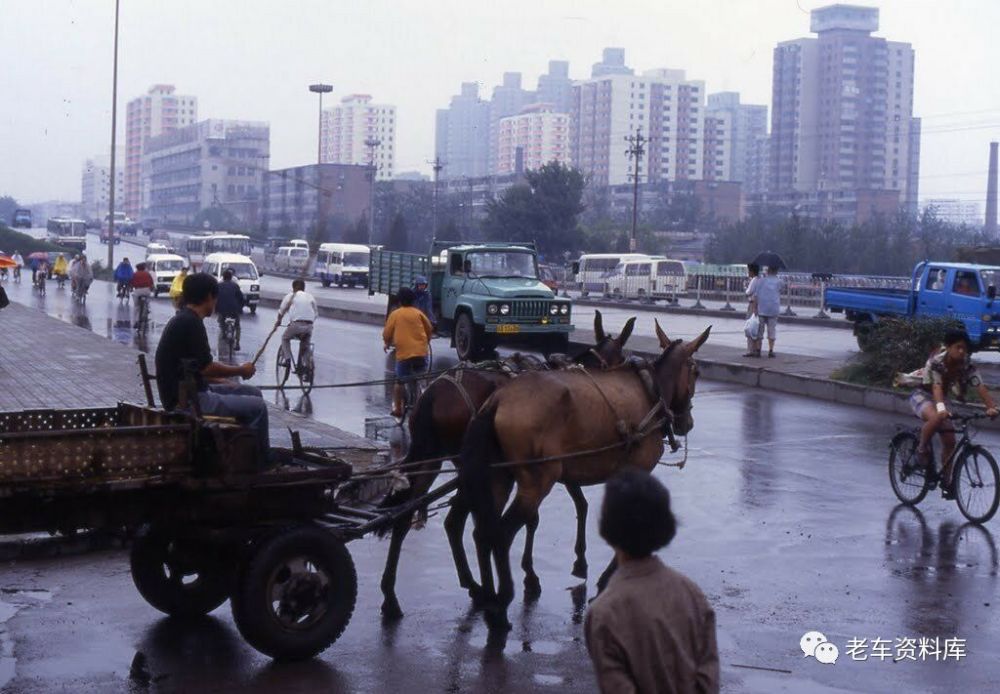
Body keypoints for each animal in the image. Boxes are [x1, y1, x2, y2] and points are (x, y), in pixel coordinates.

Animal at [376, 310, 632, 620]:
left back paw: (395, 596)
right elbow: (562, 509)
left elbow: (561, 508)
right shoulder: (553, 463)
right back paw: (477, 587)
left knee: (413, 517)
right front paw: (544, 570)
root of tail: (435, 393)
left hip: (433, 456)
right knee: (459, 520)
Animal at [458, 320, 708, 632]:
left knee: (482, 531)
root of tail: (498, 399)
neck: (655, 391)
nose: (688, 422)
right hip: (538, 478)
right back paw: (501, 603)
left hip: (499, 476)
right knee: (502, 533)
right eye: (696, 371)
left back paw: (486, 595)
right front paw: (605, 580)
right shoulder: (639, 469)